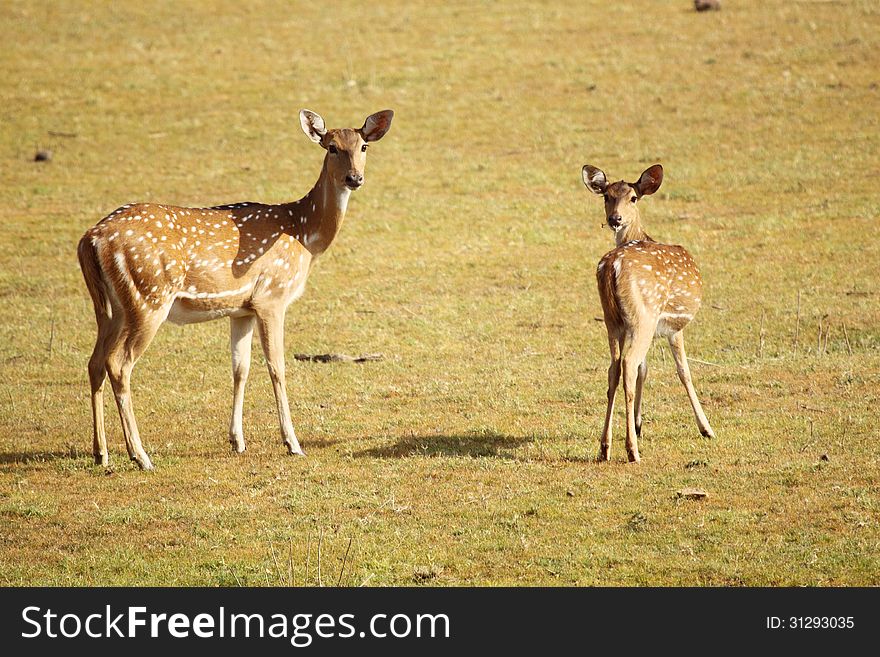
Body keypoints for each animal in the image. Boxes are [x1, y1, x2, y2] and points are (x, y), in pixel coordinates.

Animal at [79, 109, 396, 466]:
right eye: (331, 147)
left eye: (364, 146)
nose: (355, 178)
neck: (304, 234)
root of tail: (90, 239)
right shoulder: (272, 297)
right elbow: (277, 367)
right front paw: (292, 442)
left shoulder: (241, 309)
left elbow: (240, 368)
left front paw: (237, 440)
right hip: (149, 297)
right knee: (119, 364)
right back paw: (140, 455)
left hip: (110, 307)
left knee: (95, 362)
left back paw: (101, 453)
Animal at [584, 163, 716, 462]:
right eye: (606, 196)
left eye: (633, 197)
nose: (615, 218)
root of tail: (612, 266)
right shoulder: (674, 327)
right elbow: (684, 371)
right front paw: (706, 428)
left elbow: (646, 370)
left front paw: (638, 423)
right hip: (642, 315)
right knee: (628, 364)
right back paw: (632, 451)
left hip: (612, 321)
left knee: (614, 368)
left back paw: (605, 447)